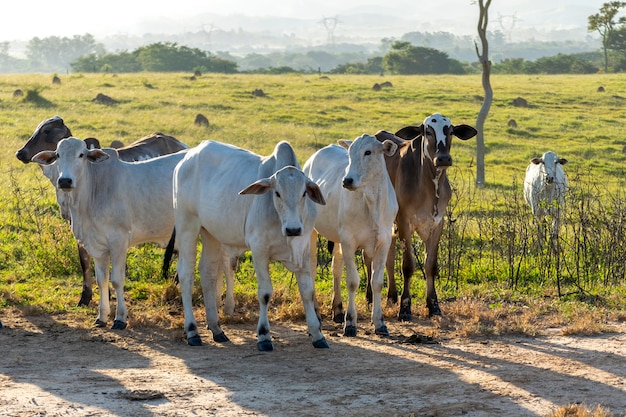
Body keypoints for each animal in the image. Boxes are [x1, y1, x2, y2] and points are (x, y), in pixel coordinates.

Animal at [171, 141, 326, 352]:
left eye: (304, 193)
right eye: (277, 193)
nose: (293, 228)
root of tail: (186, 158)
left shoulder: (302, 250)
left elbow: (308, 291)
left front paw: (317, 334)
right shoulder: (259, 249)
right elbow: (265, 293)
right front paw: (264, 335)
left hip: (211, 233)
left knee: (207, 272)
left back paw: (216, 329)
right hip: (187, 225)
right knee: (186, 274)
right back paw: (192, 331)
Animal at [302, 135, 394, 336]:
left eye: (368, 152)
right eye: (350, 153)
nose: (347, 180)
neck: (371, 202)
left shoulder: (384, 241)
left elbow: (377, 282)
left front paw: (380, 322)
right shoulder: (349, 241)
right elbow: (352, 281)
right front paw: (351, 322)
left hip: (337, 238)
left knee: (336, 267)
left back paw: (337, 309)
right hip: (311, 231)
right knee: (311, 268)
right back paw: (317, 313)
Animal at [368, 114, 476, 318]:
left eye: (451, 131)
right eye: (428, 131)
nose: (443, 158)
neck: (430, 184)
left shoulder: (437, 223)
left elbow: (430, 265)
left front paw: (434, 305)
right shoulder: (405, 222)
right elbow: (408, 266)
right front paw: (405, 307)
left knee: (388, 256)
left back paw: (391, 296)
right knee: (368, 256)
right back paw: (370, 297)